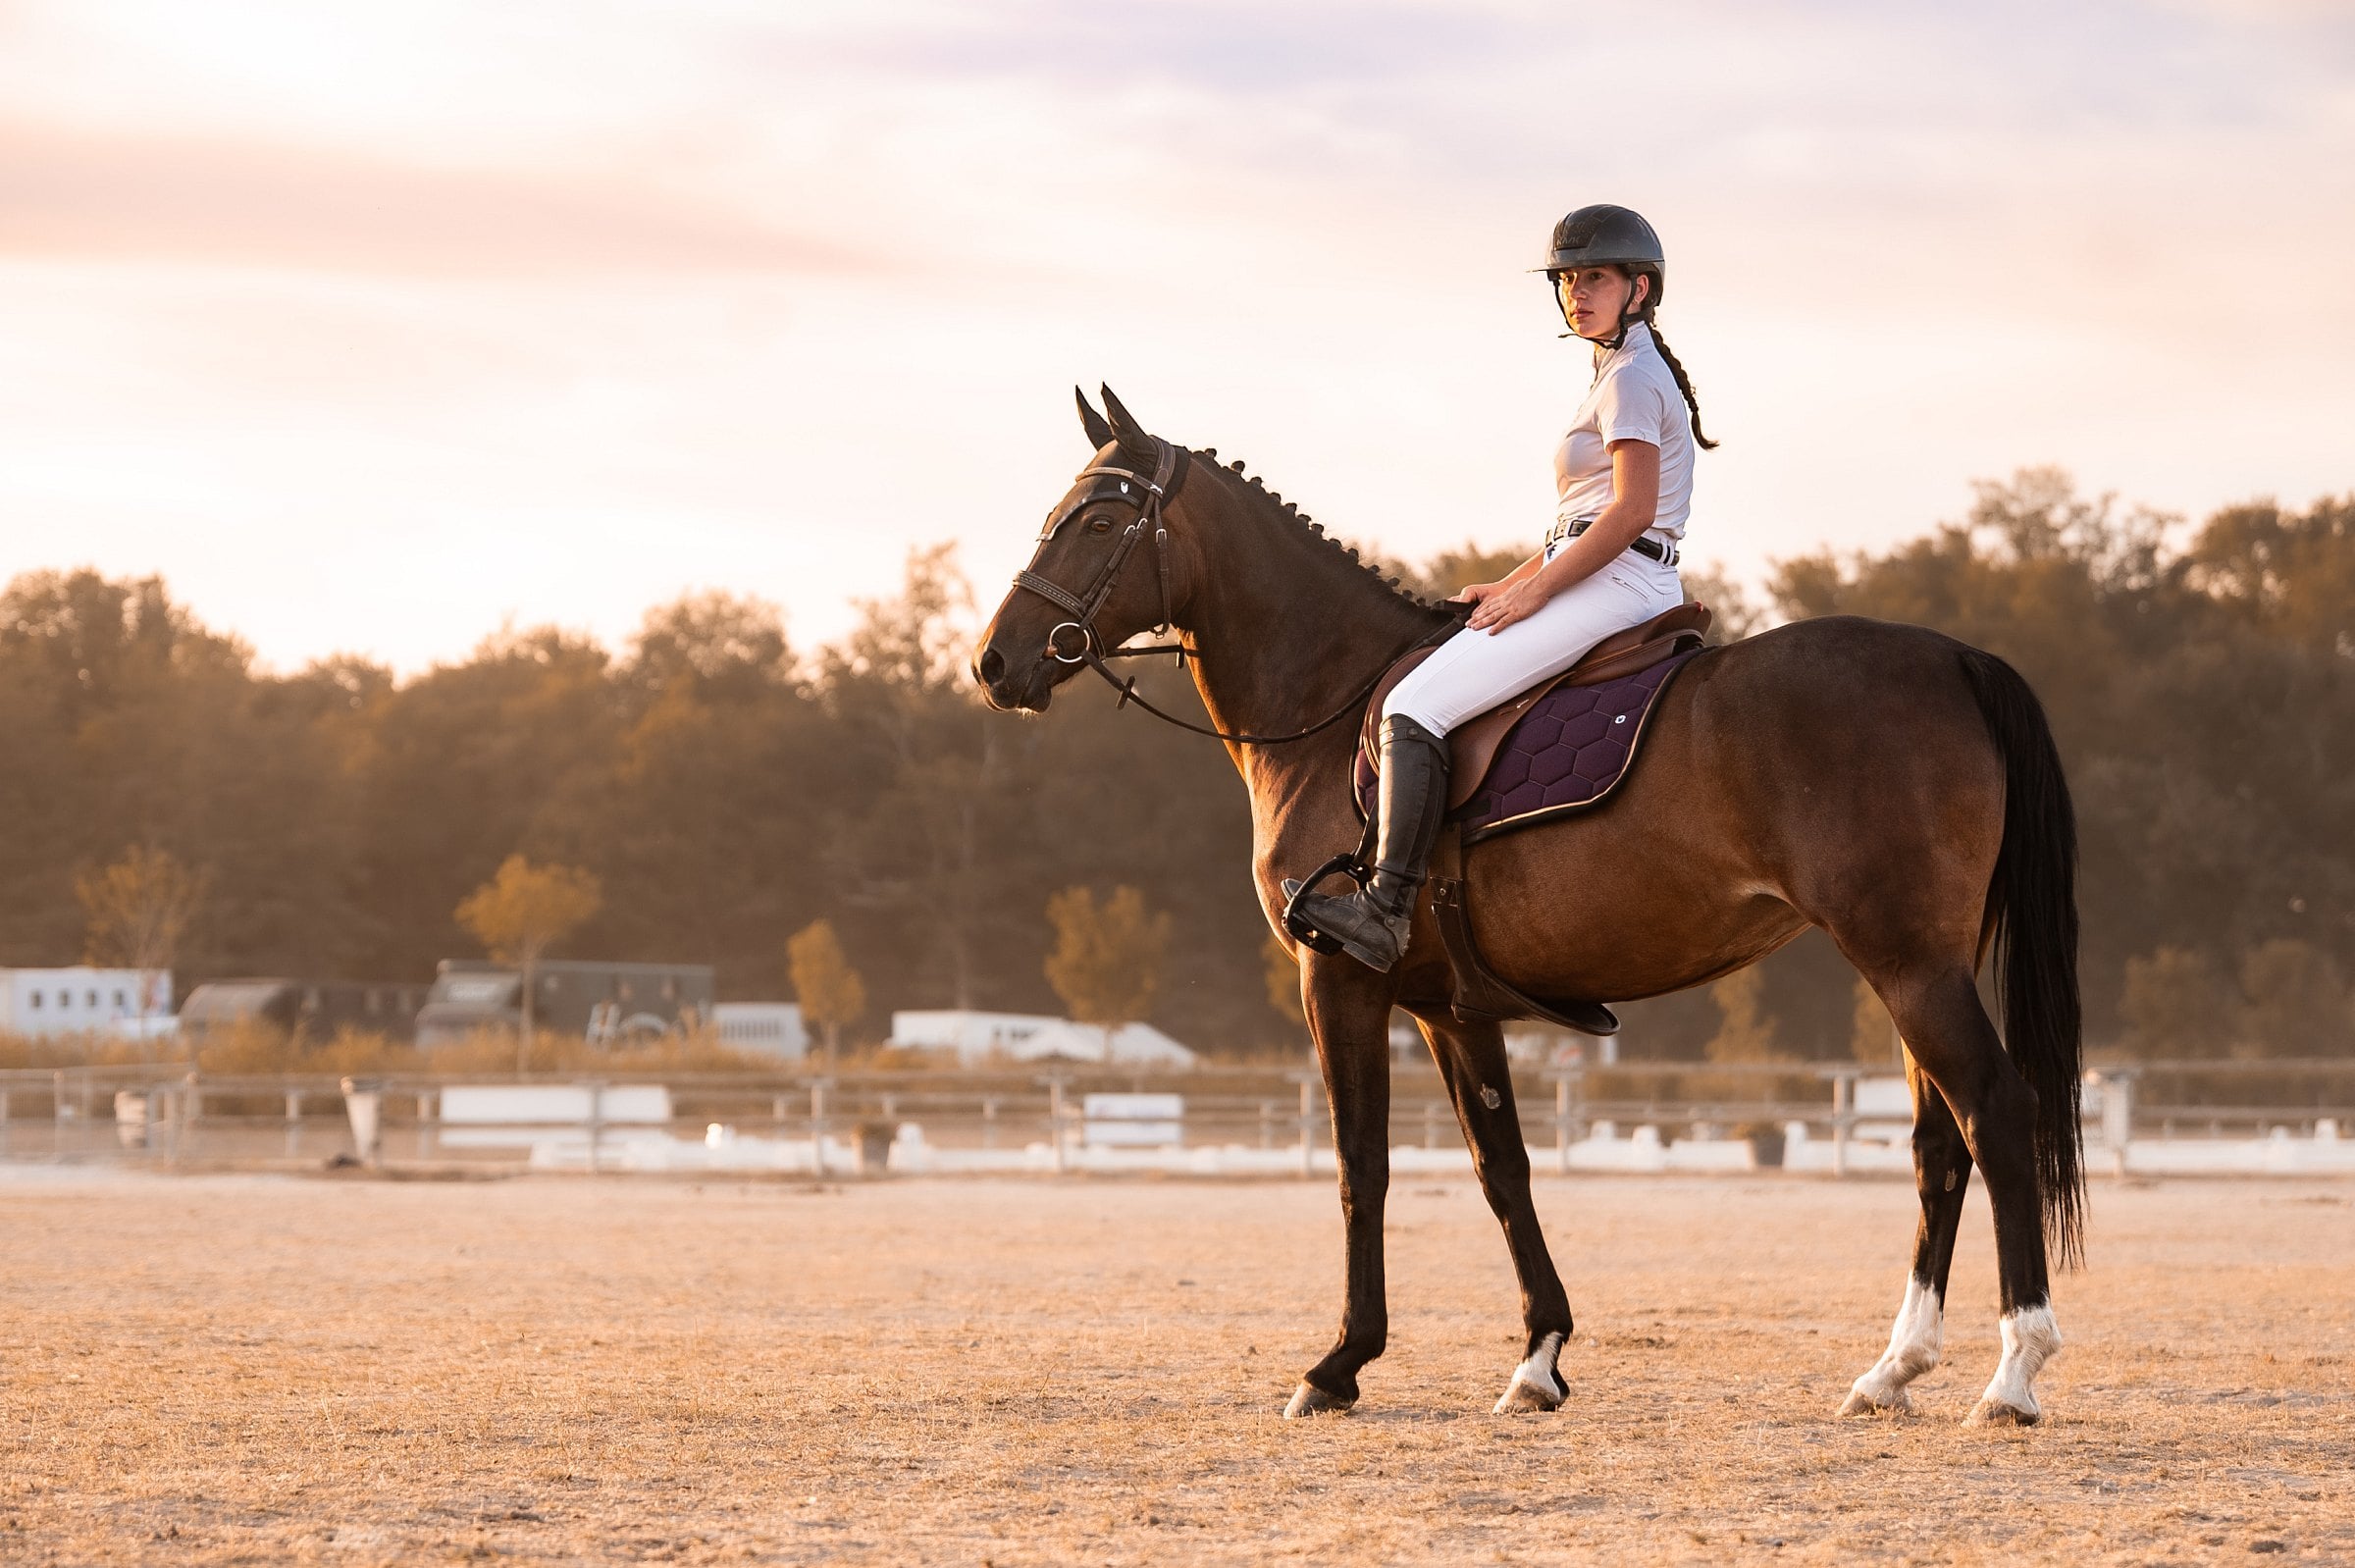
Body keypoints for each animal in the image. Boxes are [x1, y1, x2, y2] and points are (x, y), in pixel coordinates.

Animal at [972, 386, 2084, 1427]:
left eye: (1098, 522)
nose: (994, 662)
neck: (1330, 702)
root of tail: (1953, 658)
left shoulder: (1338, 982)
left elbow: (1361, 1168)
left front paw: (1337, 1365)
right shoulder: (1449, 1008)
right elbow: (1501, 1167)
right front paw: (1539, 1357)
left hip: (1907, 962)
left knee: (1995, 1110)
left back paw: (2013, 1372)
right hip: (1907, 964)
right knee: (1939, 1144)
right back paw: (1892, 1370)